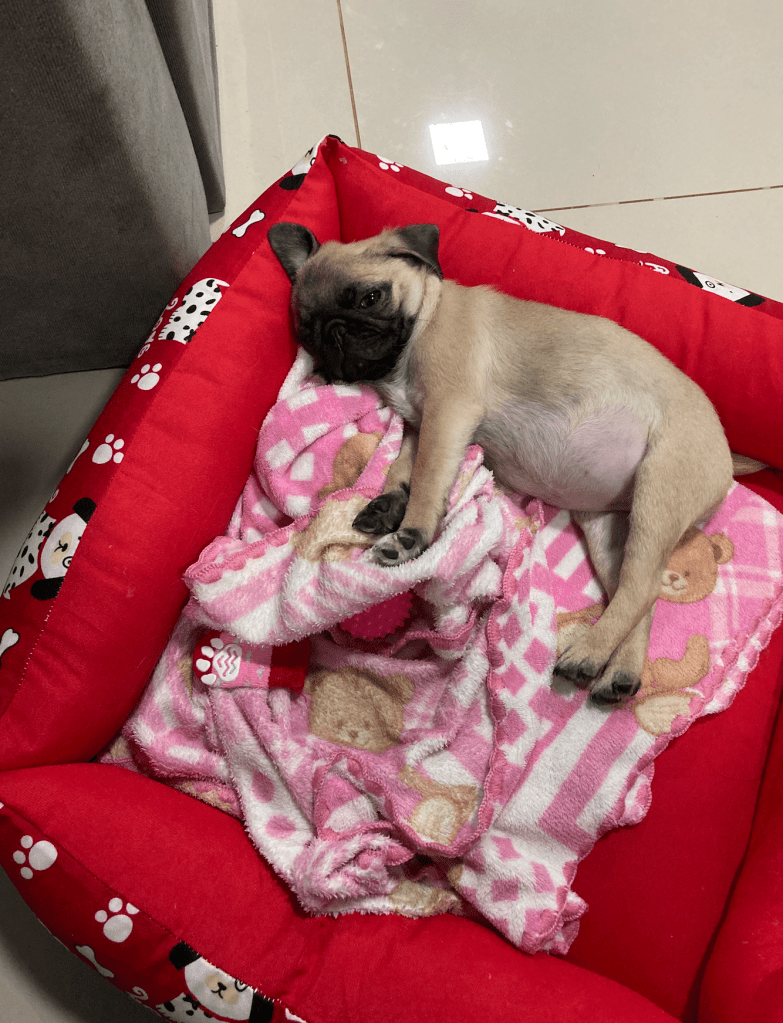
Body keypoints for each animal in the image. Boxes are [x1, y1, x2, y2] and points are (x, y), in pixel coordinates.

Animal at [268, 221, 762, 704]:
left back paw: (587, 651)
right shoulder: (420, 424)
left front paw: (411, 534)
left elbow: (427, 477)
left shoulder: (447, 412)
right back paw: (617, 672)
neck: (422, 323)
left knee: (641, 587)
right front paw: (388, 505)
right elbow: (403, 466)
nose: (335, 332)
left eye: (371, 298)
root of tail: (725, 454)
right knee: (639, 594)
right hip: (610, 531)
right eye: (306, 331)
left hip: (659, 491)